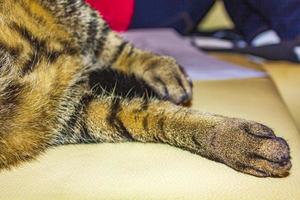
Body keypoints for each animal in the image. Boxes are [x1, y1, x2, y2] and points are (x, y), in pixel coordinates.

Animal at [0, 0, 290, 178]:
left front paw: (234, 139)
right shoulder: (68, 111)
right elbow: (149, 116)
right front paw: (234, 140)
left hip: (73, 13)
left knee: (113, 46)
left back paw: (161, 69)